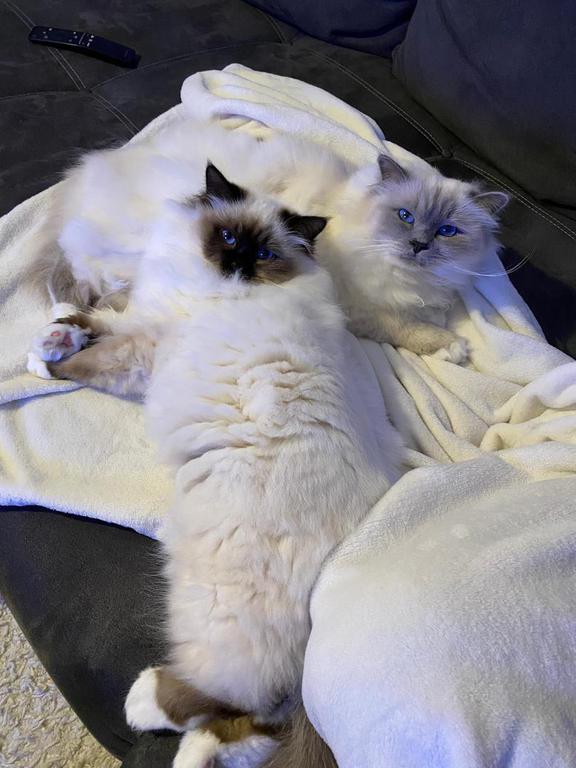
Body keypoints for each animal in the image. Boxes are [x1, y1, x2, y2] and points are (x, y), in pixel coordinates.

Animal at [28, 118, 507, 366]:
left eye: (447, 231)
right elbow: (406, 328)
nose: (420, 245)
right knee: (82, 272)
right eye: (405, 217)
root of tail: (84, 172)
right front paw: (452, 347)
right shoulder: (359, 307)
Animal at [31, 164, 403, 768]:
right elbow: (99, 318)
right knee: (259, 724)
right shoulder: (146, 314)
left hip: (209, 608)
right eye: (228, 237)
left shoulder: (145, 345)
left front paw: (48, 362)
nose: (237, 264)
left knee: (229, 697)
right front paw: (57, 330)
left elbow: (94, 358)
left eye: (265, 253)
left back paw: (146, 706)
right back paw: (195, 752)